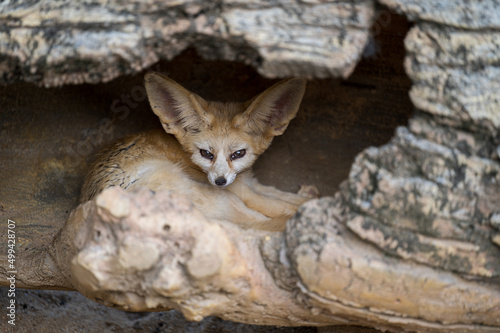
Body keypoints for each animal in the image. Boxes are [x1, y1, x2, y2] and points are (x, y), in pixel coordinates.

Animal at [80, 71, 310, 230]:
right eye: (206, 153)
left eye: (238, 154)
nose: (220, 181)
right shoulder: (242, 192)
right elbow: (282, 206)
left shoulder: (248, 181)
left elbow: (280, 194)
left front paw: (306, 196)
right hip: (225, 200)